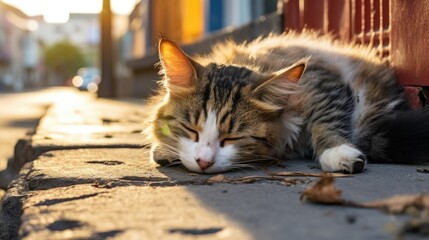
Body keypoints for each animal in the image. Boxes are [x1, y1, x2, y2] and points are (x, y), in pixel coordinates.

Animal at [147, 32, 428, 174]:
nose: (204, 163)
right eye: (190, 130)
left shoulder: (322, 83)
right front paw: (165, 149)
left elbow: (327, 121)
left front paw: (338, 153)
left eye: (233, 138)